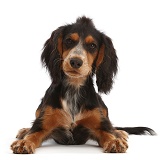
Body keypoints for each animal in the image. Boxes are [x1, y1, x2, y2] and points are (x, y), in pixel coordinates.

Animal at [10, 16, 155, 154]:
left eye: (92, 45)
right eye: (69, 41)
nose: (75, 61)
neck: (74, 87)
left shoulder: (98, 123)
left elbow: (107, 132)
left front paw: (115, 141)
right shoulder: (44, 122)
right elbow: (33, 133)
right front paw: (24, 142)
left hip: (103, 109)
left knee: (111, 125)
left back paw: (119, 133)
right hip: (39, 108)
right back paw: (24, 131)